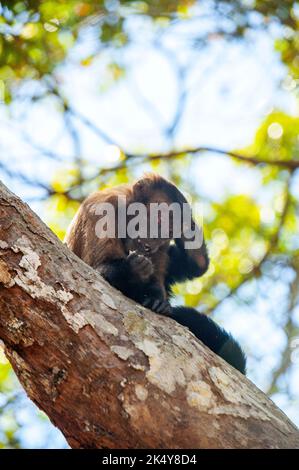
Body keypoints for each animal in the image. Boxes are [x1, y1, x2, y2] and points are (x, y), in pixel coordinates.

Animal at [67, 173, 247, 374]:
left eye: (168, 231)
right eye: (158, 220)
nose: (151, 241)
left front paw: (156, 297)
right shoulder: (102, 209)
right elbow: (98, 270)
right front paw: (133, 269)